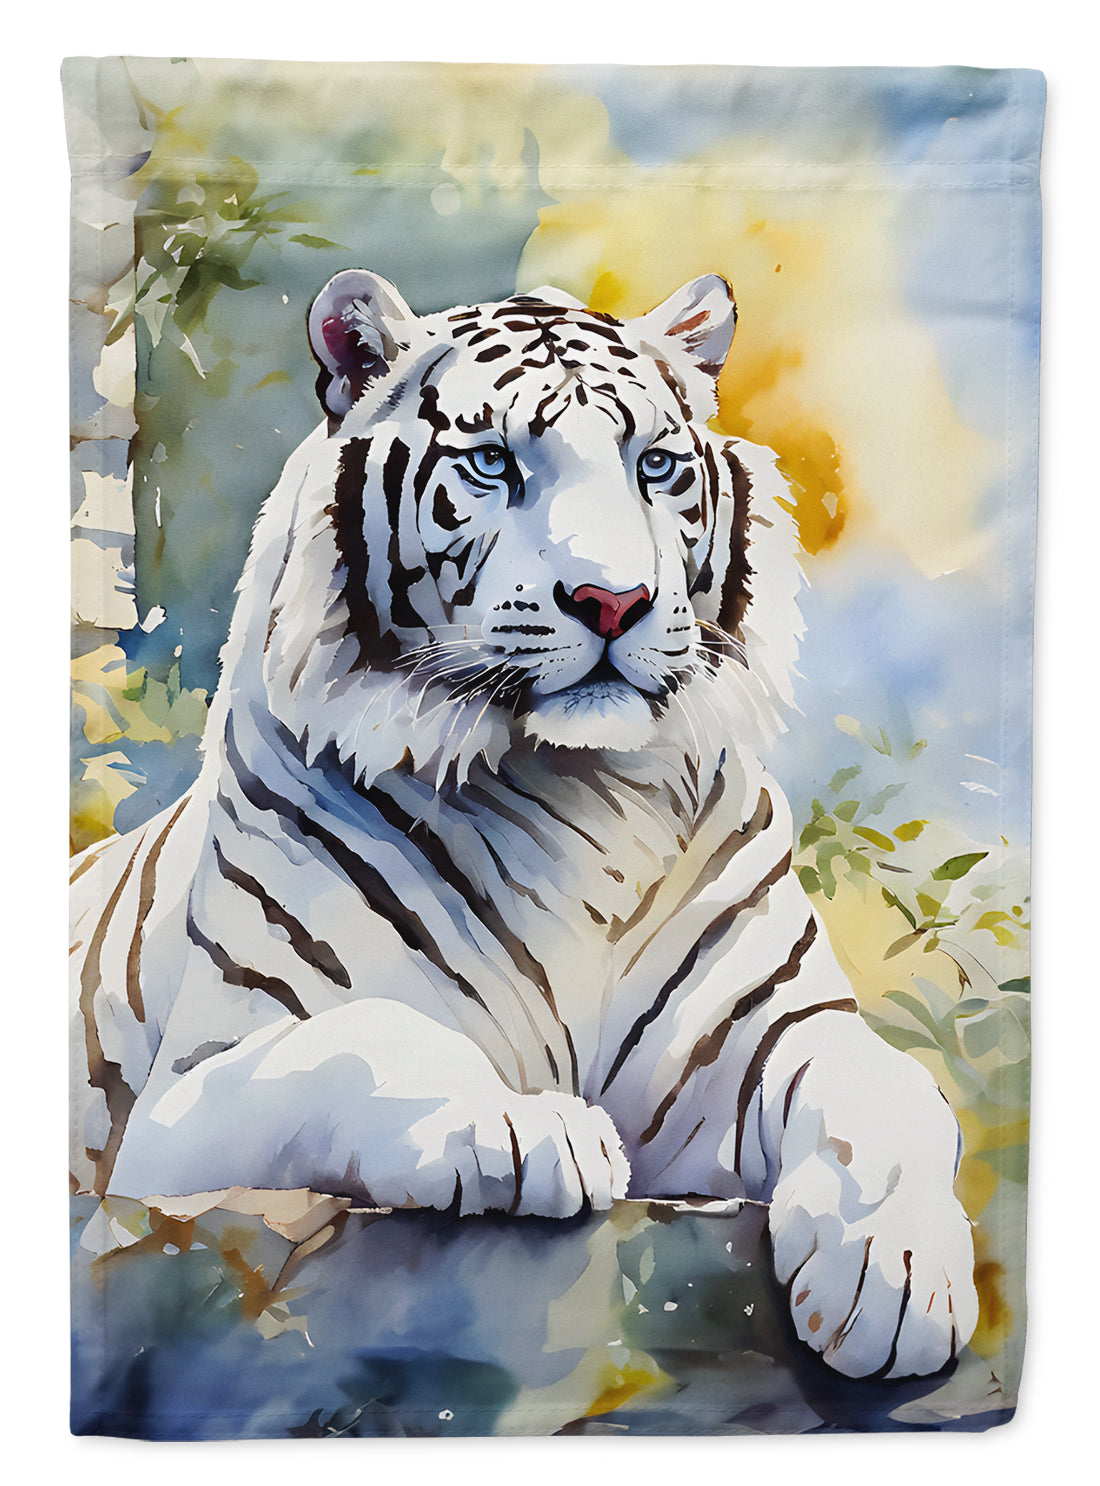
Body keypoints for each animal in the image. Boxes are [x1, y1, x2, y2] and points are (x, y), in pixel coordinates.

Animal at [70, 268, 978, 1380]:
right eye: (493, 463)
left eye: (655, 465)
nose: (612, 600)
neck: (581, 787)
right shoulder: (181, 1108)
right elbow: (366, 1039)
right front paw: (523, 1126)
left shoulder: (761, 1036)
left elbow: (883, 1085)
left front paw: (895, 1277)